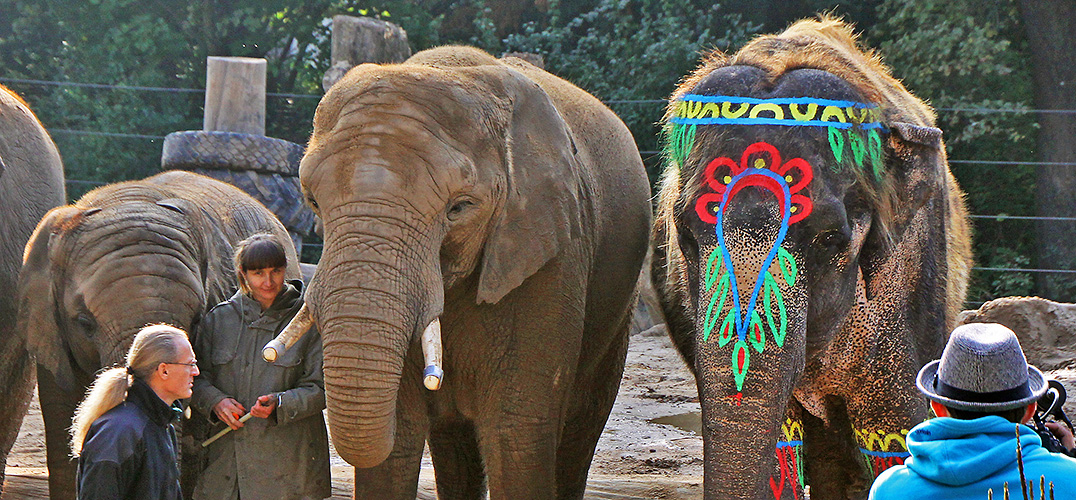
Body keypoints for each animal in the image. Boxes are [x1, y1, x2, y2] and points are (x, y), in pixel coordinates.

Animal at [277, 44, 645, 496]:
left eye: (459, 208)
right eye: (312, 200)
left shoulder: (553, 254)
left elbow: (516, 432)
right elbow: (397, 437)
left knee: (579, 431)